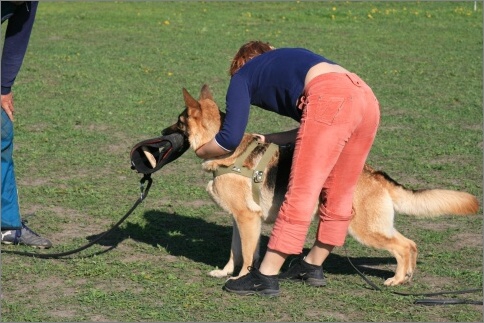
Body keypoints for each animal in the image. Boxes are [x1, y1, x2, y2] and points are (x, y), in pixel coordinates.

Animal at [161, 85, 478, 288]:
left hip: (365, 230)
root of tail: (375, 174)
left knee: (403, 246)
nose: (162, 131)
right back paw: (407, 278)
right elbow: (235, 253)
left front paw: (240, 279)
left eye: (178, 122)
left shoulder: (248, 220)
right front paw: (225, 272)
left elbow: (249, 255)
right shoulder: (239, 221)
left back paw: (397, 279)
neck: (227, 150)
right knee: (410, 244)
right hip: (371, 225)